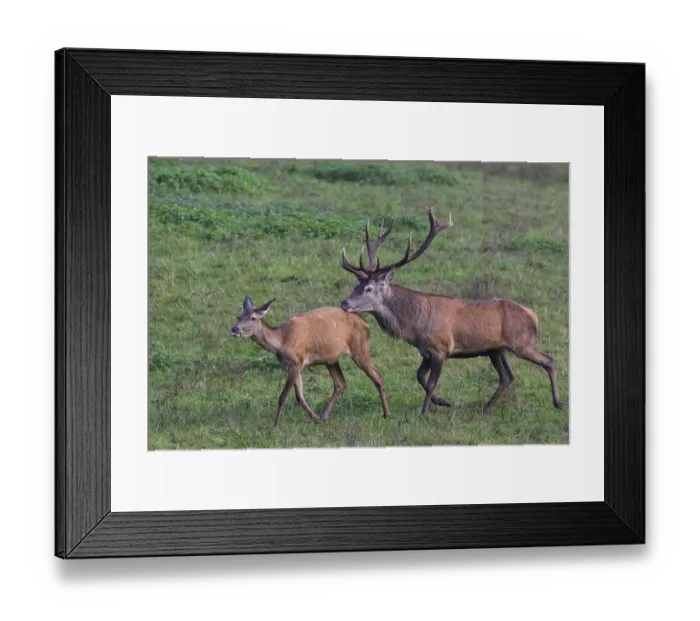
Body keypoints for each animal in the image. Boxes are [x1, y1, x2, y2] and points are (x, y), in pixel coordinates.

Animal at [231, 296, 391, 429]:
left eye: (253, 318)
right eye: (238, 316)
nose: (234, 329)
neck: (282, 341)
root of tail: (365, 323)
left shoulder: (297, 362)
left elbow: (283, 396)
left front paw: (274, 426)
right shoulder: (291, 366)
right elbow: (299, 397)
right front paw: (315, 418)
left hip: (360, 348)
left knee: (378, 376)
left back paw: (386, 414)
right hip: (331, 358)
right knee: (340, 383)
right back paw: (324, 416)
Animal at [339, 207, 564, 417]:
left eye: (369, 289)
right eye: (356, 286)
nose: (344, 302)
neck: (415, 327)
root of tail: (532, 316)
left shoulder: (442, 349)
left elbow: (430, 383)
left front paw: (425, 412)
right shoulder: (426, 351)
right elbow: (419, 376)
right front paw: (443, 402)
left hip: (522, 342)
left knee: (549, 360)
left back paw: (558, 402)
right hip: (496, 350)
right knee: (507, 377)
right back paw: (486, 409)